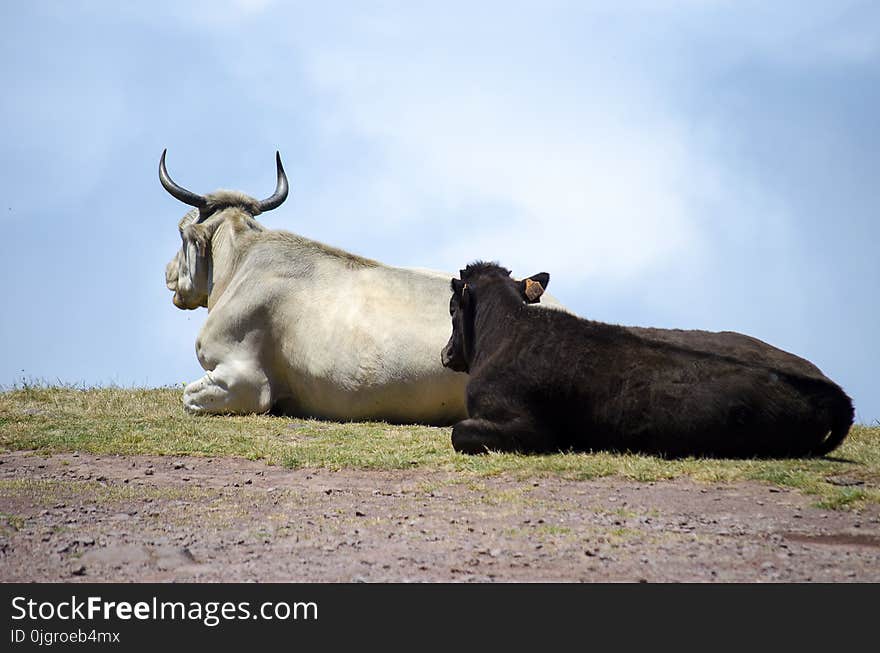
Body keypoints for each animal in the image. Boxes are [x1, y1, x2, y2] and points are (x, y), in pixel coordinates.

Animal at [440, 262, 852, 458]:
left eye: (451, 307)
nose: (445, 353)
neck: (506, 332)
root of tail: (830, 391)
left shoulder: (527, 426)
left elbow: (459, 432)